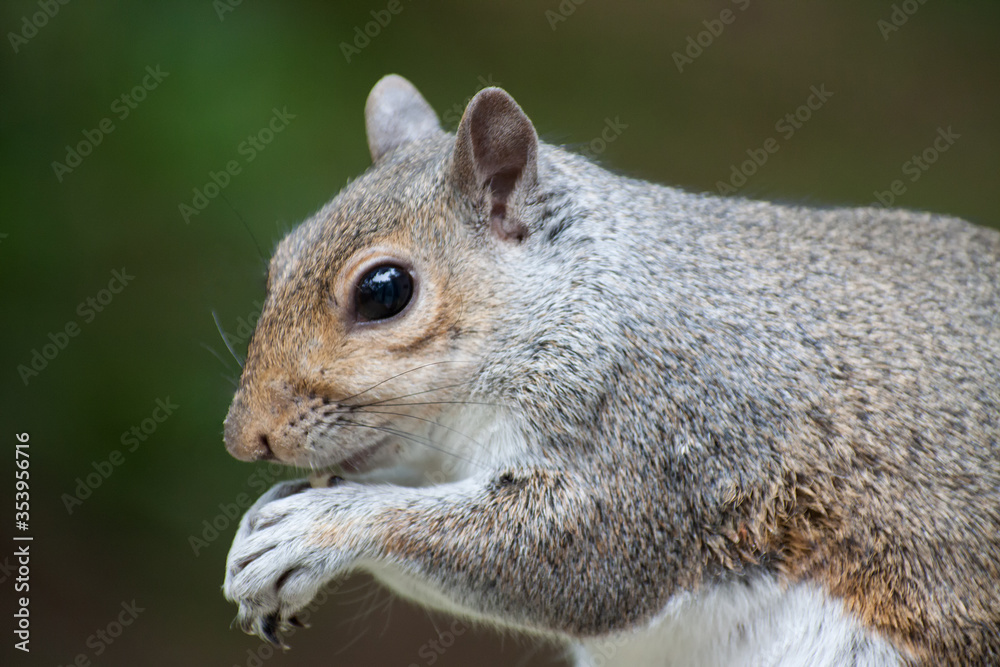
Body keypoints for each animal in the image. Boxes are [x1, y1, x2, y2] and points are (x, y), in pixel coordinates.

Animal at [222, 74, 1000, 666]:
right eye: (280, 258)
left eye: (385, 291)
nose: (244, 439)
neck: (585, 294)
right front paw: (263, 516)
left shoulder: (665, 426)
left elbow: (581, 559)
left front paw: (317, 528)